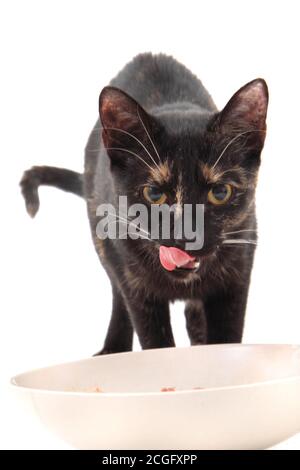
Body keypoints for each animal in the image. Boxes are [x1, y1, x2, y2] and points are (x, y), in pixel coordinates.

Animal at [21, 52, 270, 352]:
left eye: (220, 192)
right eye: (154, 194)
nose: (187, 236)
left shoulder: (236, 277)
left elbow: (226, 338)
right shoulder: (136, 285)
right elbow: (154, 340)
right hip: (103, 242)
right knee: (118, 298)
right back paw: (113, 348)